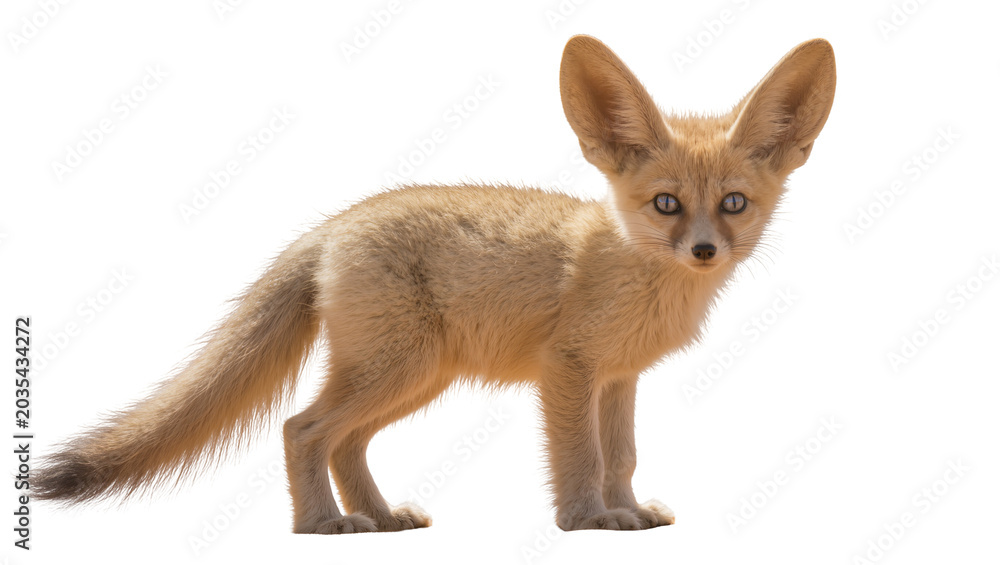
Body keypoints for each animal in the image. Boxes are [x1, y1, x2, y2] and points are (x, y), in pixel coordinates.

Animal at [35, 35, 836, 534]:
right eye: (666, 204)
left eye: (733, 204)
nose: (703, 250)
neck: (635, 273)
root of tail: (336, 222)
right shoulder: (569, 368)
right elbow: (581, 456)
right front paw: (585, 520)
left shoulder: (618, 377)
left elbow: (623, 457)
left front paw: (626, 510)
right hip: (399, 369)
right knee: (301, 428)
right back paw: (321, 524)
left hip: (415, 379)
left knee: (342, 443)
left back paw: (379, 518)